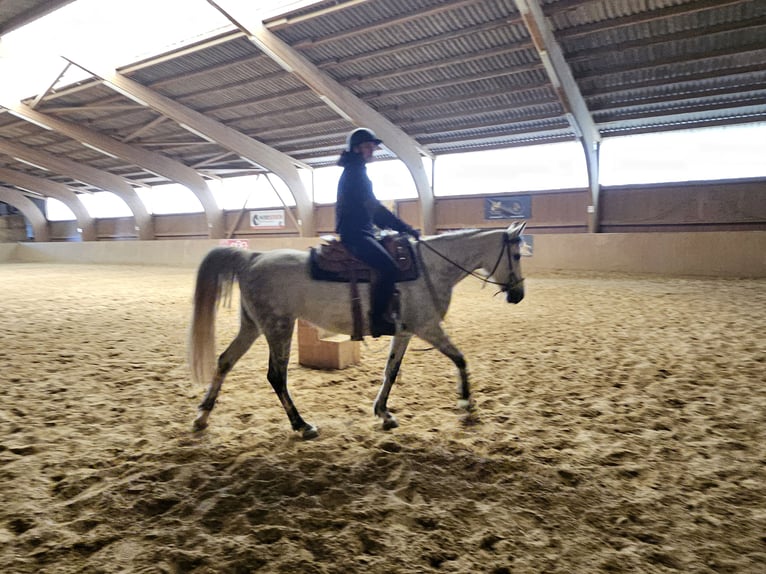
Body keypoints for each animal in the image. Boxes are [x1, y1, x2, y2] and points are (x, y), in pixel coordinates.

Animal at [188, 221, 526, 439]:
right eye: (518, 255)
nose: (518, 295)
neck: (430, 267)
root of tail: (253, 257)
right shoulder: (428, 327)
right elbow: (460, 359)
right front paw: (467, 405)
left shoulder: (405, 331)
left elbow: (391, 371)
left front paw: (383, 413)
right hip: (278, 327)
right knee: (276, 376)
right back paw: (301, 425)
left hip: (253, 326)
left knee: (225, 361)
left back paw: (202, 416)